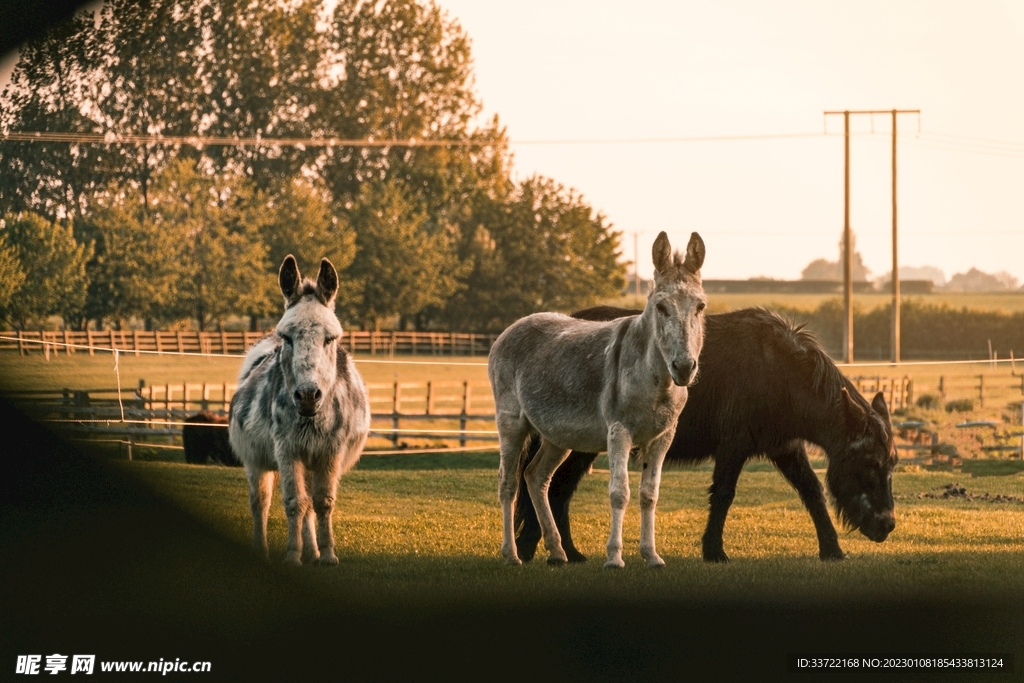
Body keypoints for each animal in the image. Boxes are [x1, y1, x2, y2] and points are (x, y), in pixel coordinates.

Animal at [228, 255, 370, 566]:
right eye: (288, 337)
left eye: (330, 338)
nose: (307, 396)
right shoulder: (288, 450)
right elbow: (294, 502)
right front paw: (293, 555)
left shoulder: (330, 451)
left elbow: (322, 503)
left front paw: (327, 554)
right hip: (256, 461)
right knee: (261, 502)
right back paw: (262, 550)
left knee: (309, 505)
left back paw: (313, 552)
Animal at [489, 231, 707, 568]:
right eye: (661, 307)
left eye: (700, 306)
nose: (683, 368)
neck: (653, 378)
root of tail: (514, 326)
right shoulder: (619, 431)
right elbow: (620, 492)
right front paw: (614, 558)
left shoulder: (662, 438)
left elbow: (649, 494)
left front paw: (652, 555)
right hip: (511, 423)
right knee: (508, 483)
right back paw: (511, 555)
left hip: (557, 436)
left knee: (536, 477)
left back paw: (557, 552)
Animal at [514, 306, 898, 563]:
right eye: (869, 463)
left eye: (891, 465)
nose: (887, 526)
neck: (779, 372)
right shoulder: (734, 446)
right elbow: (724, 495)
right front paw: (714, 550)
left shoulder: (785, 448)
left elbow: (812, 492)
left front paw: (832, 549)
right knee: (552, 486)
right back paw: (540, 547)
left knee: (555, 488)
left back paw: (562, 550)